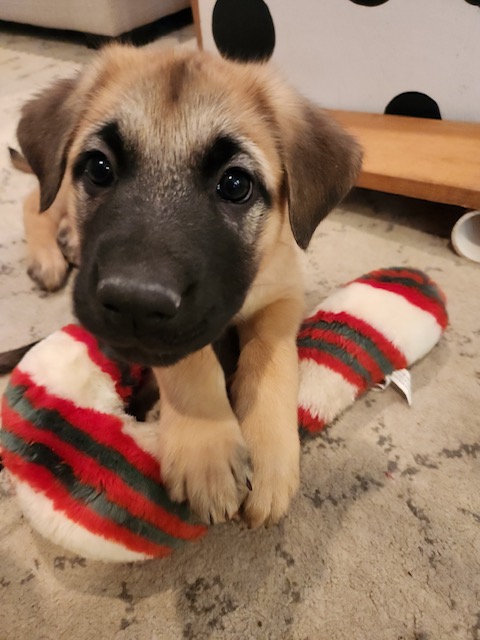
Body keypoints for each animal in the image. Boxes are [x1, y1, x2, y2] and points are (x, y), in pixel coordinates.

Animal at [13, 45, 362, 527]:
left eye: (235, 184)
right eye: (99, 167)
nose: (133, 303)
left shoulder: (283, 292)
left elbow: (271, 361)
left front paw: (270, 454)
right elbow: (191, 361)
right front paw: (207, 448)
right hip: (57, 186)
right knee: (37, 199)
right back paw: (48, 255)